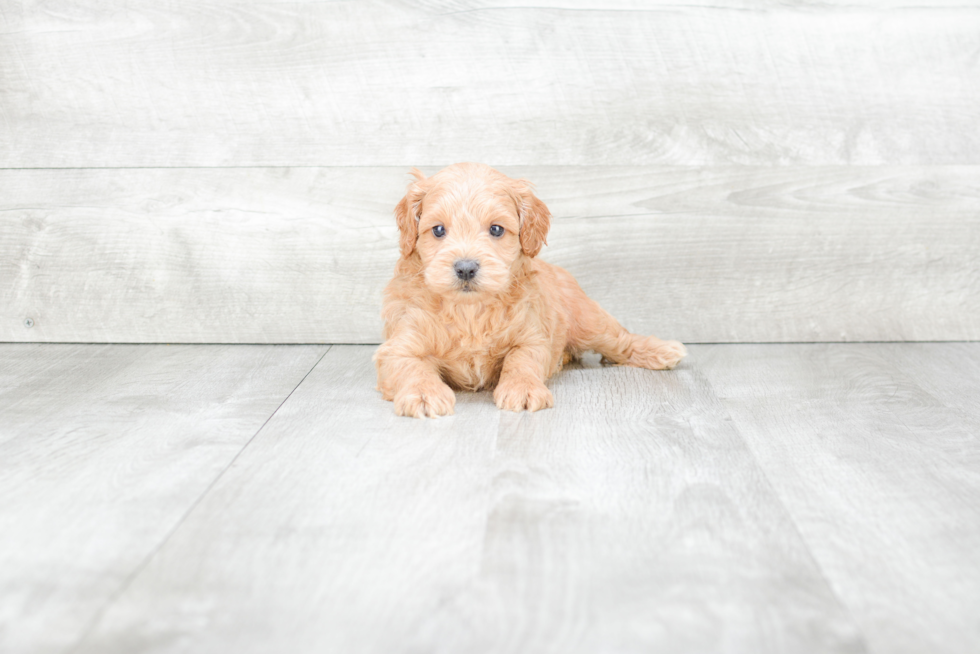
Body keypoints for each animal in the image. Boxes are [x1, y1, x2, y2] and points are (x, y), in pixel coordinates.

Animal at [376, 164, 688, 420]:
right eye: (438, 230)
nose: (465, 268)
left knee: (621, 341)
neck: (470, 310)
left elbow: (521, 360)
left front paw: (523, 389)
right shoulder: (400, 343)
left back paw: (662, 351)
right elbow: (411, 365)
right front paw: (423, 393)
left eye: (496, 229)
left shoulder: (531, 334)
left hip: (590, 322)